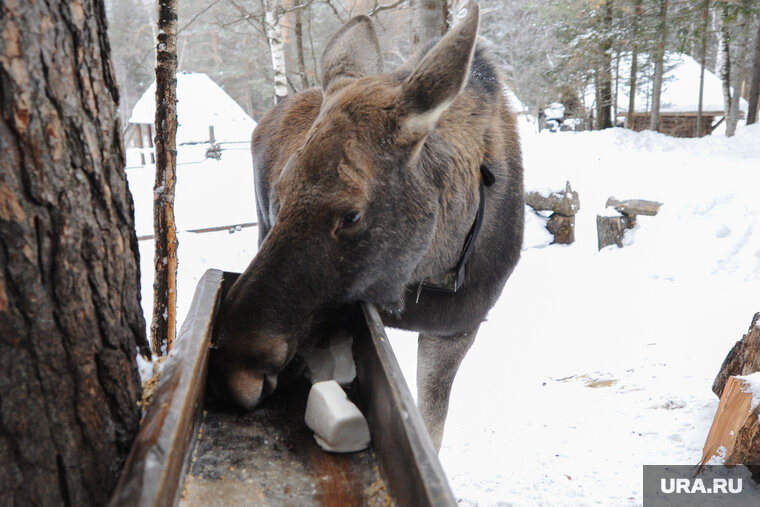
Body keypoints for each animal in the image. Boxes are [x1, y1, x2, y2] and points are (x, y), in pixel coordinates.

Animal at [211, 1, 524, 450]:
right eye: (282, 191)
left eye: (352, 215)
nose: (230, 369)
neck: (434, 268)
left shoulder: (456, 332)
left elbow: (432, 432)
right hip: (258, 223)